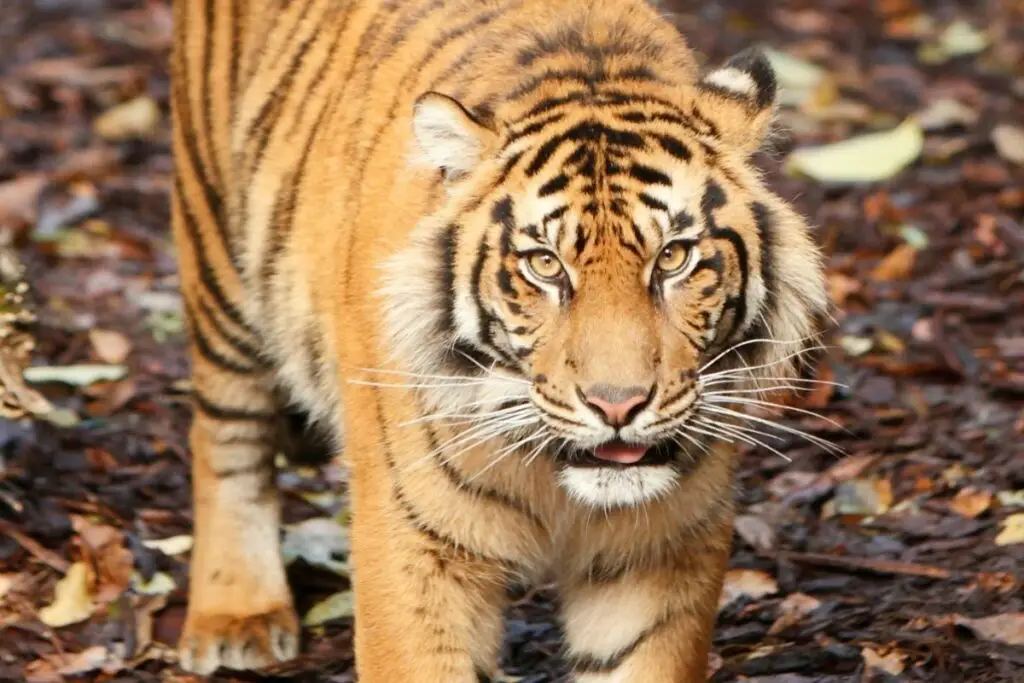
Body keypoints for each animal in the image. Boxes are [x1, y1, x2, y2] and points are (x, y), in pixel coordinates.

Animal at [169, 0, 829, 680]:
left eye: (673, 257)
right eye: (545, 265)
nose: (617, 405)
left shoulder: (660, 555)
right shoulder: (412, 548)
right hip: (218, 256)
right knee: (224, 433)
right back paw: (236, 616)